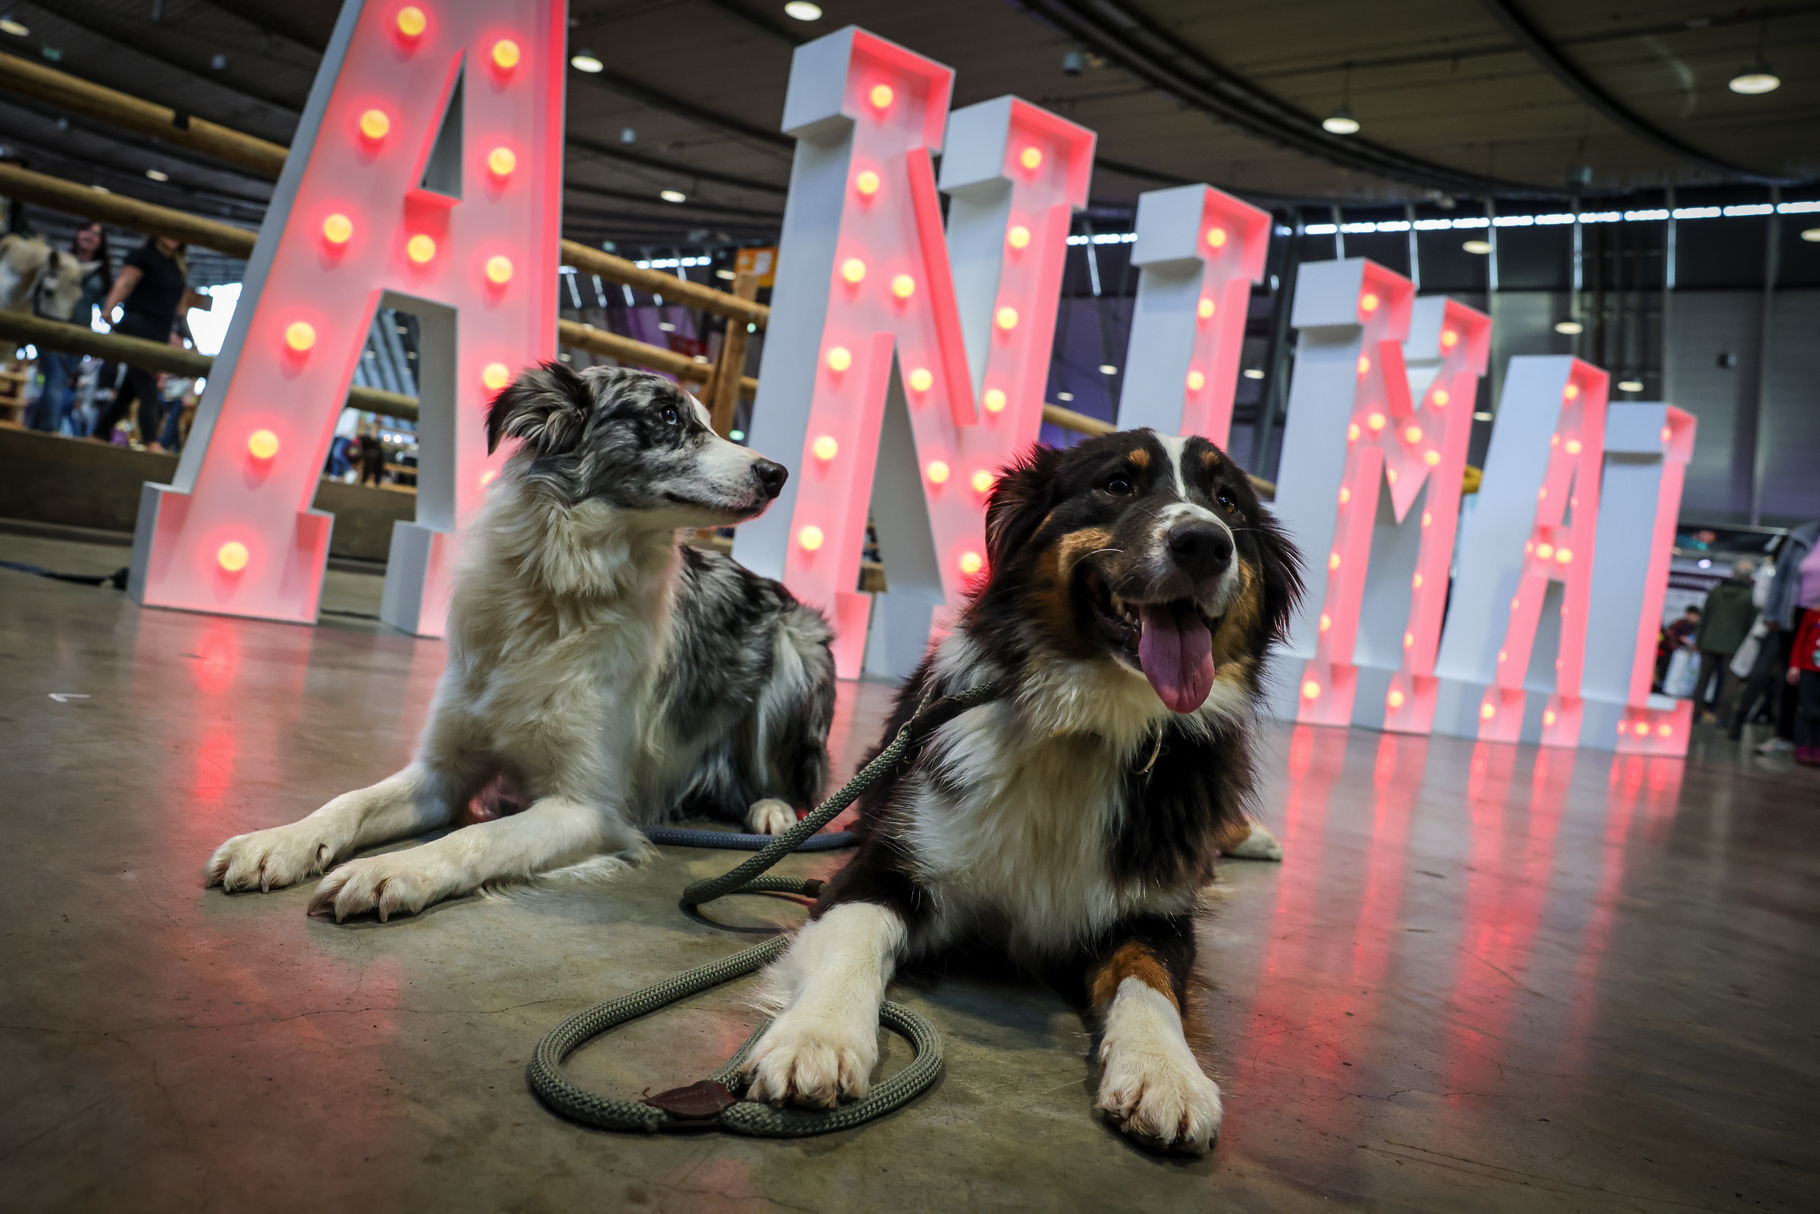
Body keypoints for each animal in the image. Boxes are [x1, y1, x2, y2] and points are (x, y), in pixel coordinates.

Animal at [205, 365, 836, 920]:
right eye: (667, 415)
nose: (777, 473)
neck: (560, 594)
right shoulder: (442, 772)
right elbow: (351, 800)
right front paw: (279, 841)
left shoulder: (587, 809)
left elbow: (480, 836)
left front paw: (395, 869)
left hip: (795, 653)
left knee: (787, 779)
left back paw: (774, 810)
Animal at [743, 429, 1302, 1154]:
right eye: (1118, 484)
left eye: (1228, 500)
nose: (1206, 543)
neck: (1089, 728)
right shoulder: (890, 862)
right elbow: (850, 939)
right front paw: (818, 1036)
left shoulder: (1156, 910)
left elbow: (1152, 981)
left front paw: (1166, 1073)